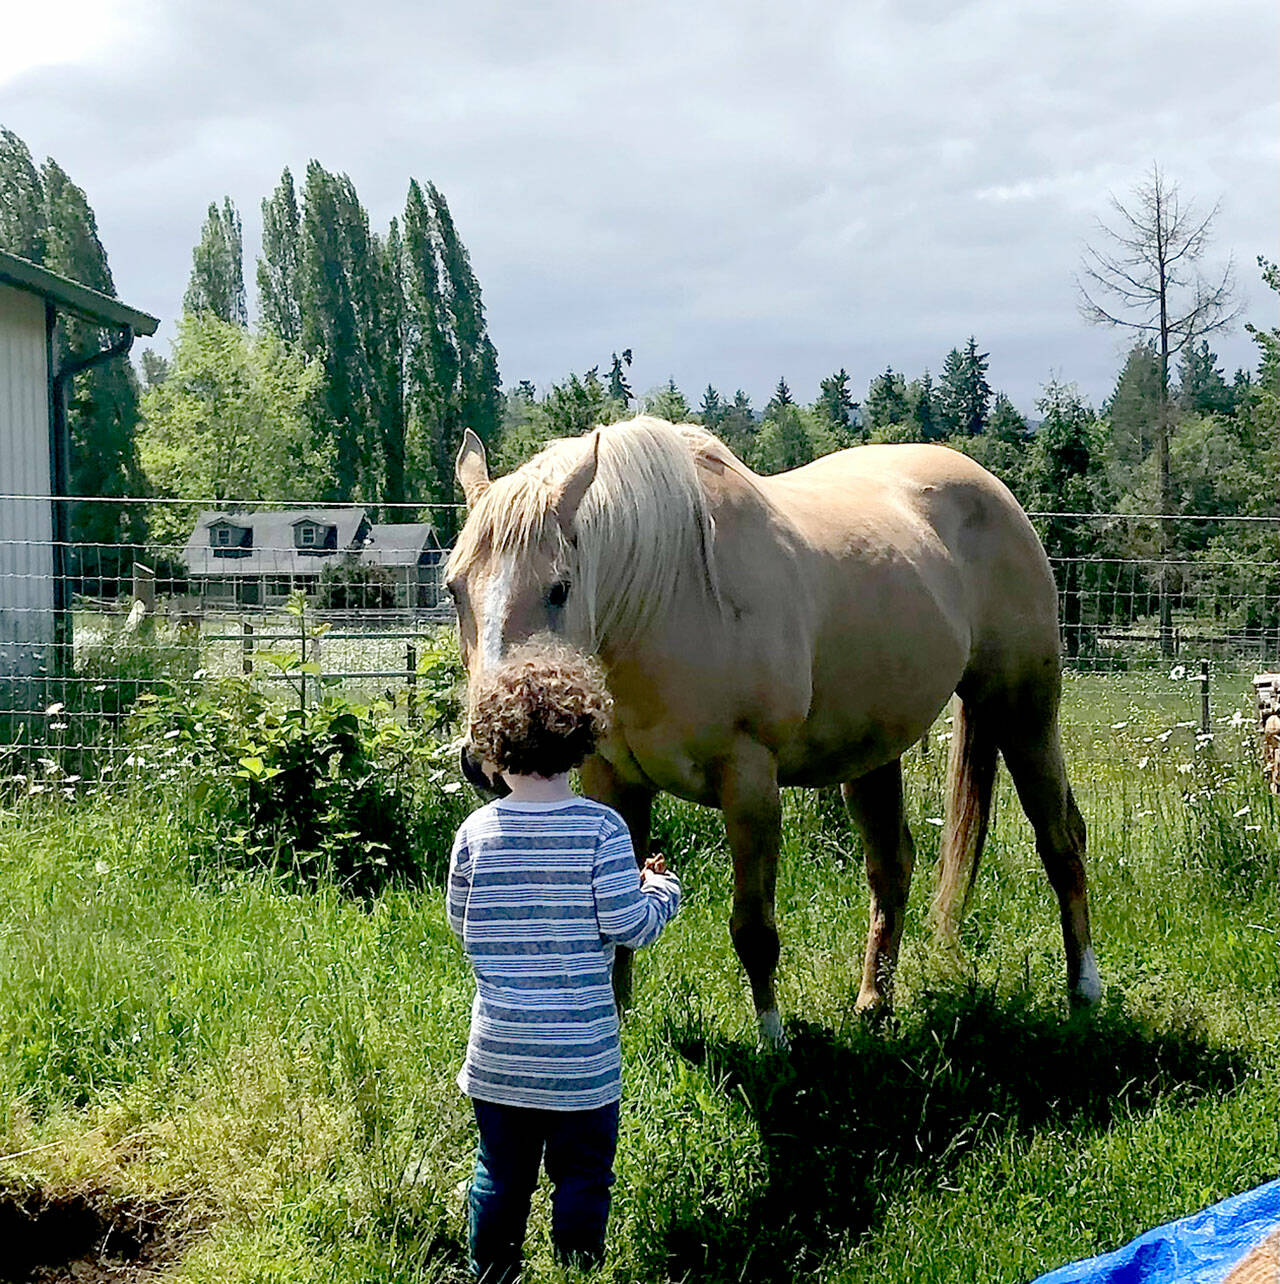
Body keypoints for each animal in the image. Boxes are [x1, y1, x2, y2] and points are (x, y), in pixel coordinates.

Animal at [445, 415, 1099, 1047]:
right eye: (454, 589)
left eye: (559, 588)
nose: (488, 759)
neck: (670, 597)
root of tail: (994, 492)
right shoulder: (614, 782)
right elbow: (618, 921)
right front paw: (615, 1025)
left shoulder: (750, 781)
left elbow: (754, 927)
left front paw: (772, 1040)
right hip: (873, 753)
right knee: (892, 864)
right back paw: (874, 1004)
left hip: (1023, 711)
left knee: (1061, 838)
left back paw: (1084, 991)